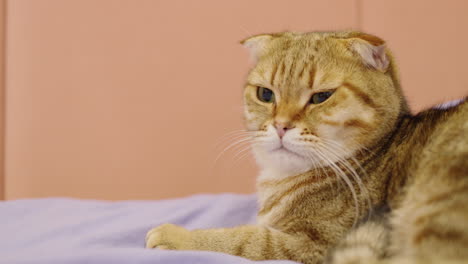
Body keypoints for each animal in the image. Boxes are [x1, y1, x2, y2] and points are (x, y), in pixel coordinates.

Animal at [144, 30, 466, 264]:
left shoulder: (310, 246)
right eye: (265, 94)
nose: (281, 125)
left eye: (321, 96)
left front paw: (176, 236)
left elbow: (244, 240)